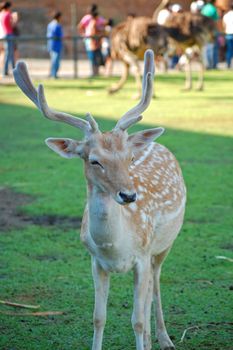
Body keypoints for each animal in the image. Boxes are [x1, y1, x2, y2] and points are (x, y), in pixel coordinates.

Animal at [13, 50, 187, 350]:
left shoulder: (142, 257)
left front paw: (147, 338)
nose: (128, 195)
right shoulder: (95, 261)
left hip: (165, 243)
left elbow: (137, 320)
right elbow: (98, 317)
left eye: (130, 158)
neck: (114, 247)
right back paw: (152, 339)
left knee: (156, 283)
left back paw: (164, 338)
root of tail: (157, 143)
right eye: (94, 160)